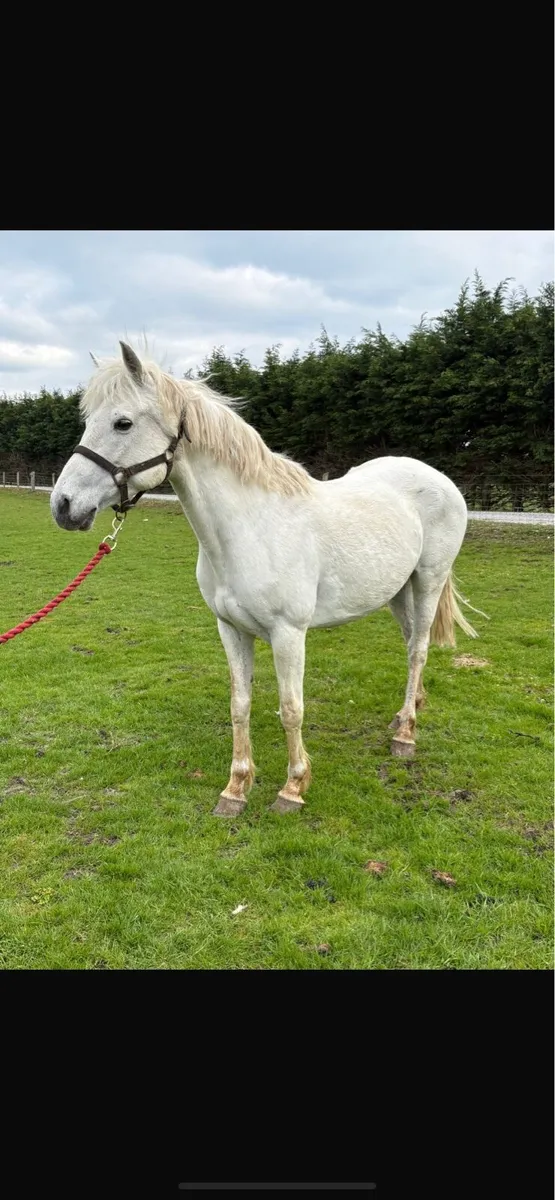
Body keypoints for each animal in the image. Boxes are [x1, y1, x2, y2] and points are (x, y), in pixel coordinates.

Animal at [51, 341, 483, 816]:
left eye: (122, 422)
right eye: (88, 421)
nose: (63, 505)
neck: (250, 527)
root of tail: (438, 478)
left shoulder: (288, 633)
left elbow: (291, 708)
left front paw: (292, 788)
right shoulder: (230, 629)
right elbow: (239, 704)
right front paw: (236, 788)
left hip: (428, 580)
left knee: (419, 649)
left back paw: (405, 736)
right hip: (397, 591)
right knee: (409, 645)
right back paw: (407, 713)